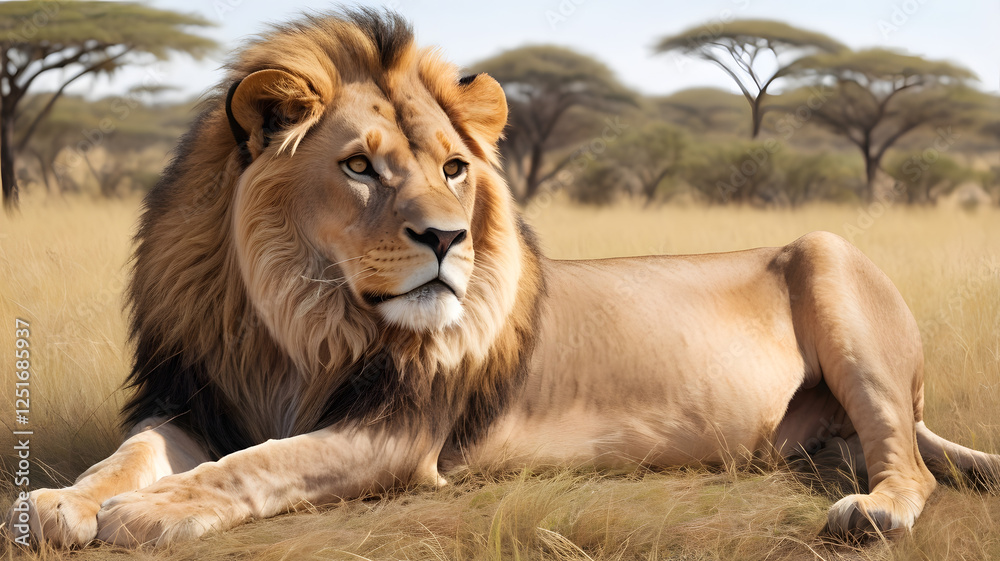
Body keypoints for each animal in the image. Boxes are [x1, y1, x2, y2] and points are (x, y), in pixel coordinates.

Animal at [9, 9, 999, 549]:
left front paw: (150, 511)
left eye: (453, 168)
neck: (293, 318)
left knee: (910, 465)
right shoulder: (195, 395)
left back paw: (872, 512)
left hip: (833, 262)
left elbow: (261, 461)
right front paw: (59, 501)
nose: (447, 239)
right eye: (359, 167)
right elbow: (127, 453)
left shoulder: (399, 431)